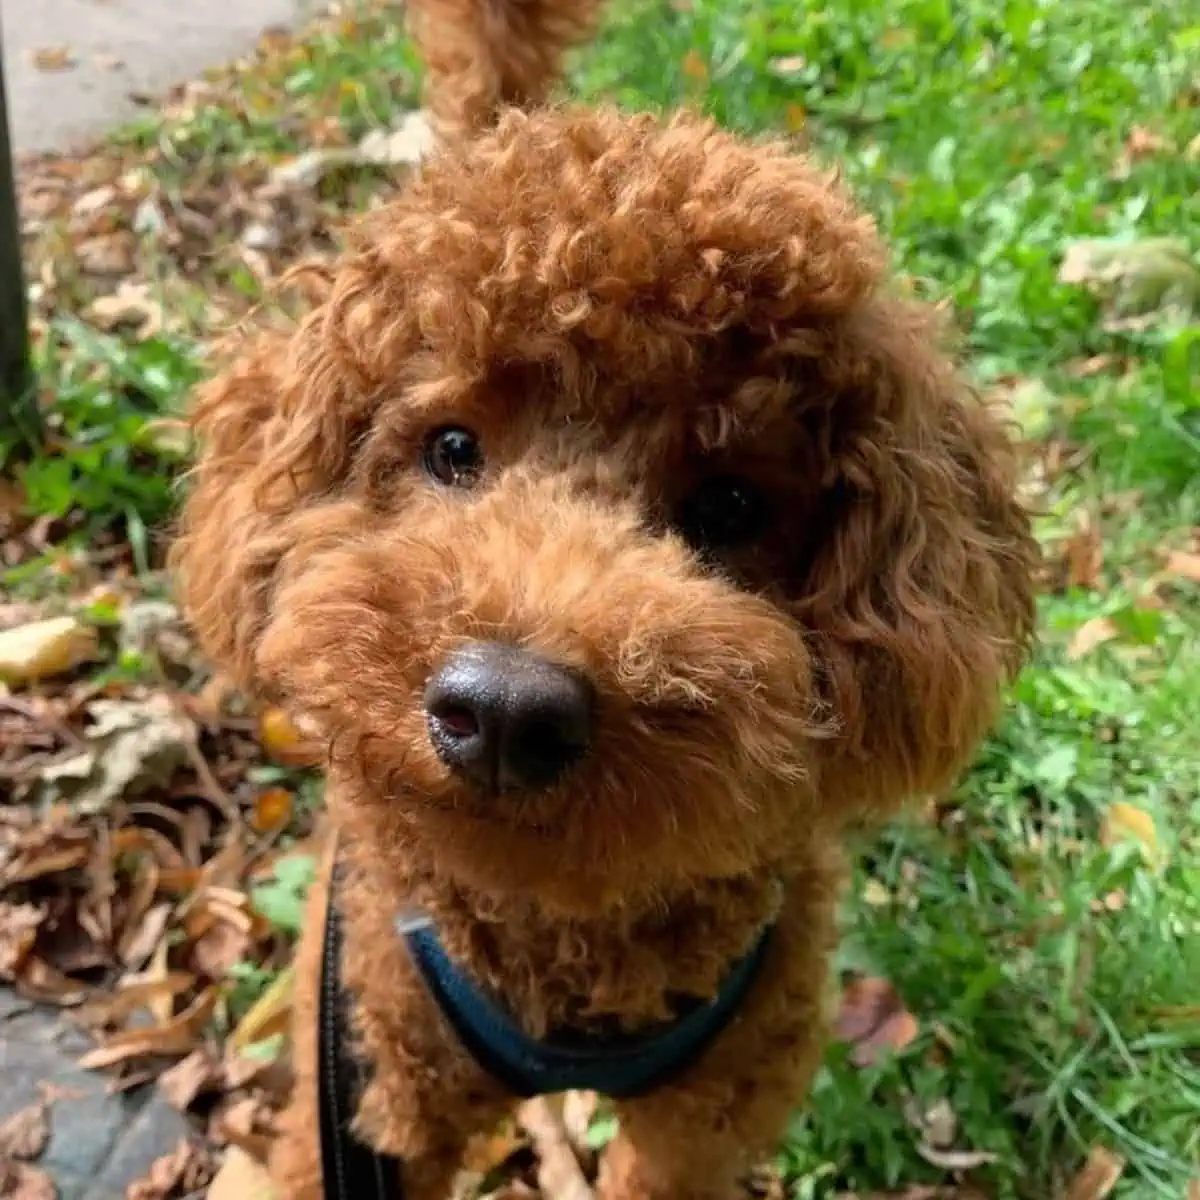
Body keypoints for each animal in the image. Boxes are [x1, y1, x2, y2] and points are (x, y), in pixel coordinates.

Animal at [171, 0, 1041, 1195]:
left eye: (727, 506)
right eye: (452, 450)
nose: (502, 709)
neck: (558, 946)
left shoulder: (703, 1124)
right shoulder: (375, 1077)